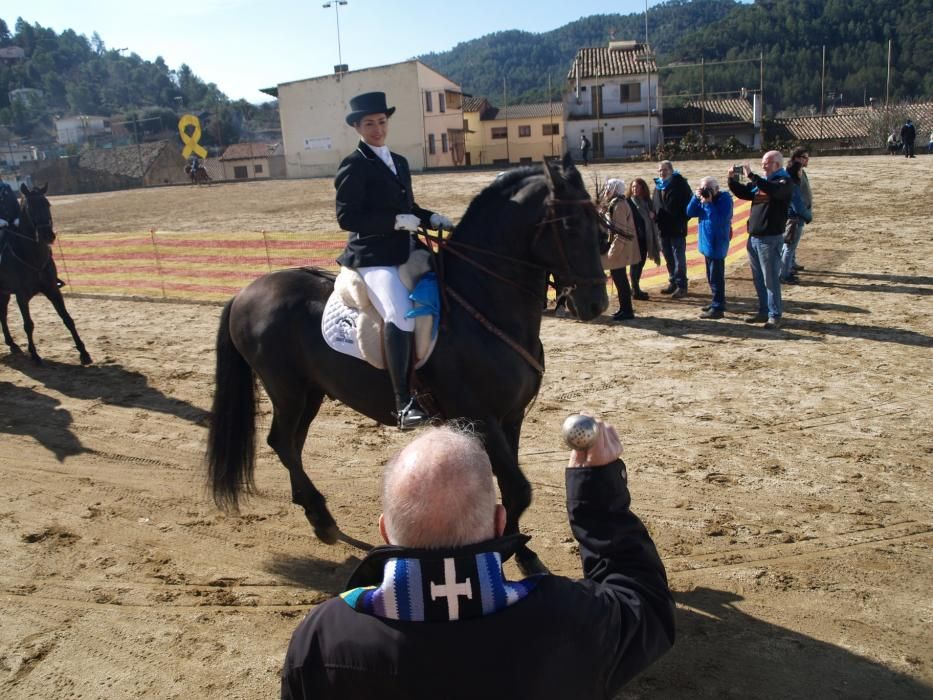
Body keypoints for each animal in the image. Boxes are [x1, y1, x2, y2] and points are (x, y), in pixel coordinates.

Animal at [0, 183, 90, 364]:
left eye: (47, 204)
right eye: (30, 207)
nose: (47, 235)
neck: (32, 256)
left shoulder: (52, 290)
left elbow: (67, 319)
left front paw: (83, 352)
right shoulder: (21, 296)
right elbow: (28, 325)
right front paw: (35, 355)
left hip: (4, 293)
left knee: (3, 314)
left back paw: (12, 343)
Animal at [207, 154, 608, 576]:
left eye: (600, 228)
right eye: (569, 225)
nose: (595, 303)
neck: (482, 302)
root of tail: (245, 292)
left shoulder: (510, 418)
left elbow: (510, 487)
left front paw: (524, 554)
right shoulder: (481, 417)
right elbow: (518, 489)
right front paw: (509, 551)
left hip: (310, 393)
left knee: (292, 445)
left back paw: (315, 516)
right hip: (288, 390)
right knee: (282, 442)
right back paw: (323, 518)